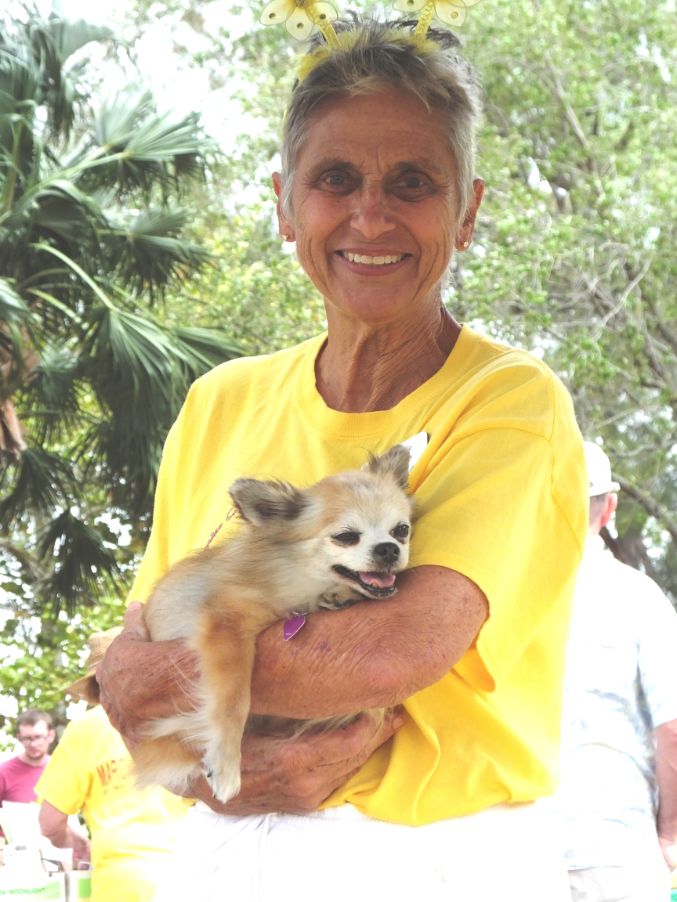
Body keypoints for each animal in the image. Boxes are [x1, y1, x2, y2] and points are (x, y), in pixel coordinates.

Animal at [135, 444, 412, 804]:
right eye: (346, 537)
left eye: (401, 530)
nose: (389, 549)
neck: (295, 577)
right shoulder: (226, 625)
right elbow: (232, 700)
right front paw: (225, 765)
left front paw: (341, 595)